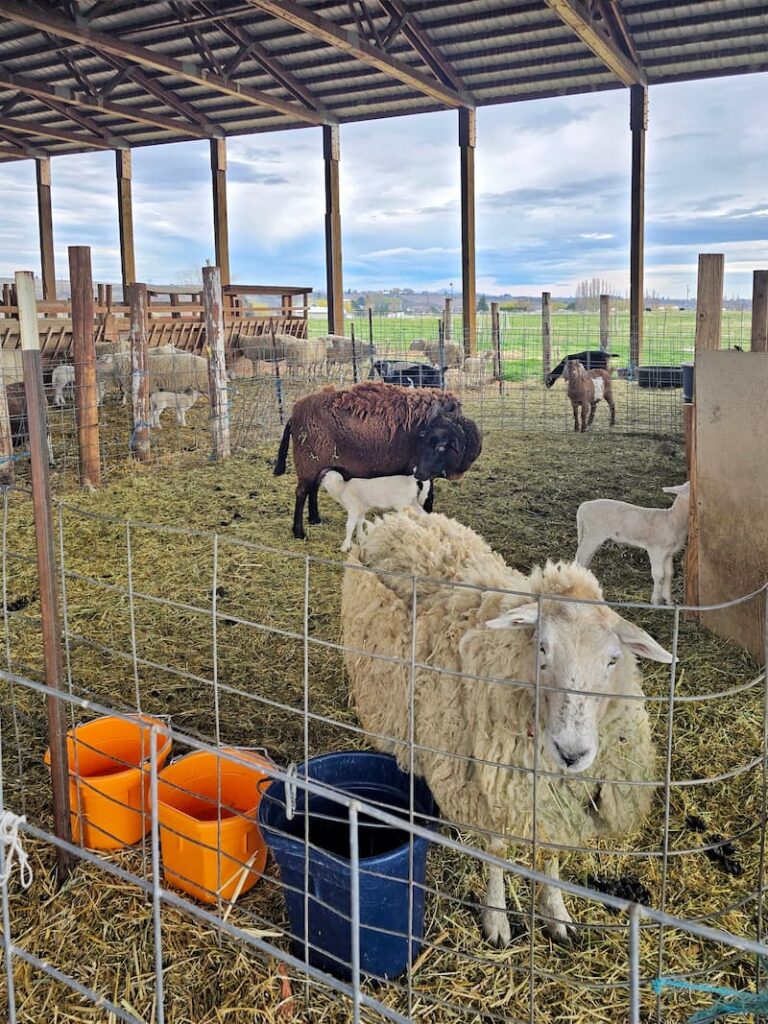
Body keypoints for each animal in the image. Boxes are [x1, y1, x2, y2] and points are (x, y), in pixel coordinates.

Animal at [273, 381, 481, 539]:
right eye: (429, 442)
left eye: (440, 447)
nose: (418, 471)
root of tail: (294, 414)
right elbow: (427, 496)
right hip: (308, 462)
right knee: (301, 493)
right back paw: (299, 532)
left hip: (318, 465)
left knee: (313, 489)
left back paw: (315, 519)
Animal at [341, 510, 672, 944]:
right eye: (543, 648)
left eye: (613, 660)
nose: (572, 753)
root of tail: (403, 518)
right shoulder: (488, 783)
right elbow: (497, 852)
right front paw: (496, 918)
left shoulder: (554, 797)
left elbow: (550, 852)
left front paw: (556, 913)